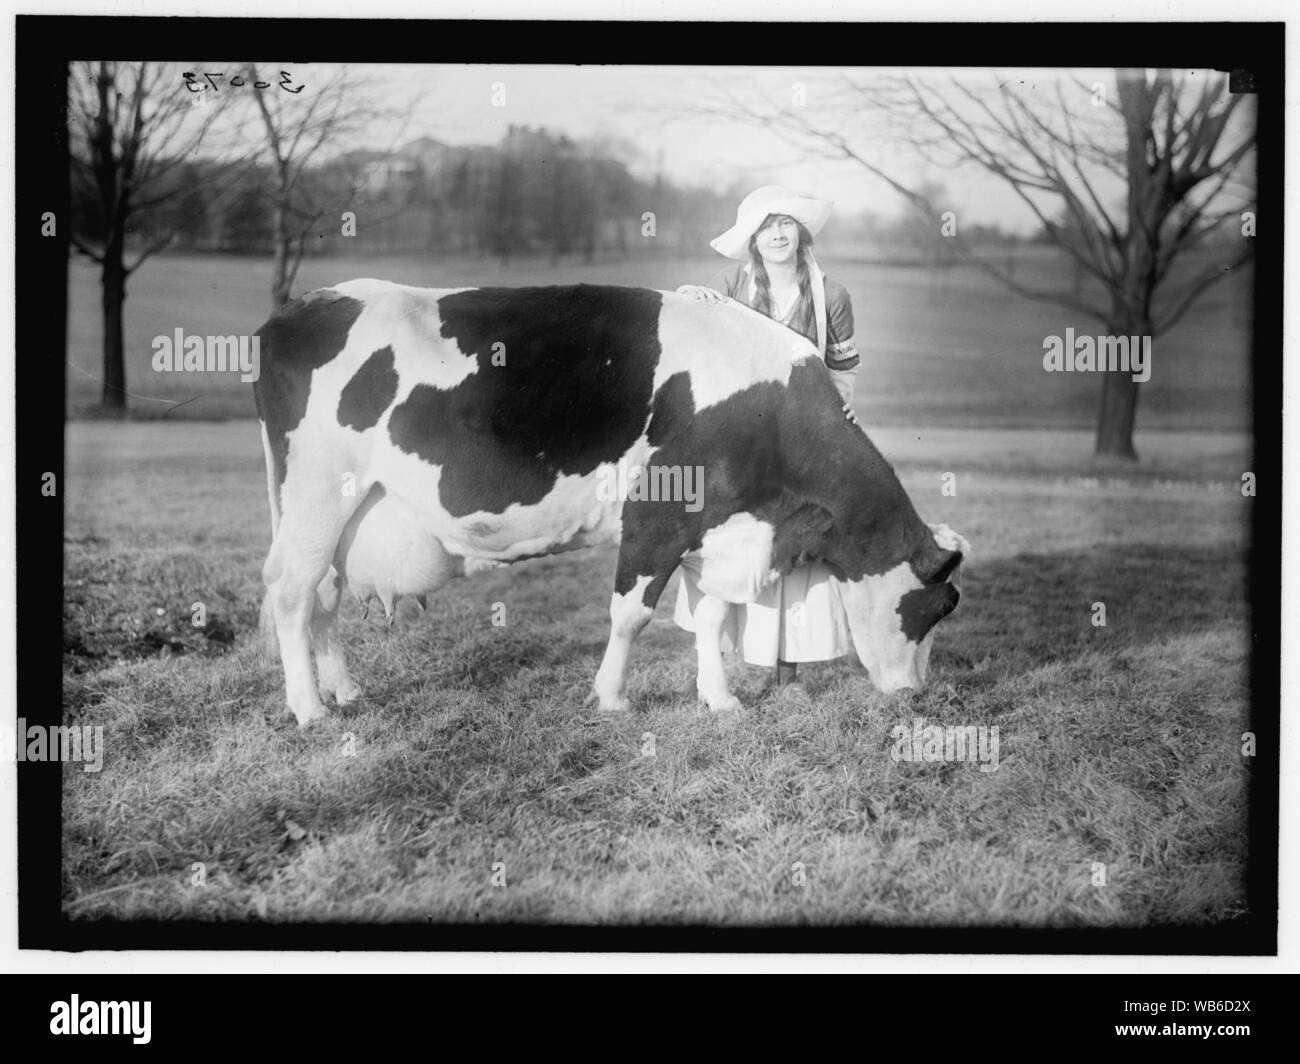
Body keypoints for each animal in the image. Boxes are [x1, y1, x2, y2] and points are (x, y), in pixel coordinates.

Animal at [250, 278, 967, 723]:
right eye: (936, 608)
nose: (916, 695)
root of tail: (303, 305)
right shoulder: (657, 517)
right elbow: (631, 615)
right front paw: (612, 698)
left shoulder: (716, 527)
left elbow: (711, 618)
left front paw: (720, 700)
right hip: (317, 495)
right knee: (290, 593)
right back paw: (309, 709)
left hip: (337, 515)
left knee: (324, 596)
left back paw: (344, 689)